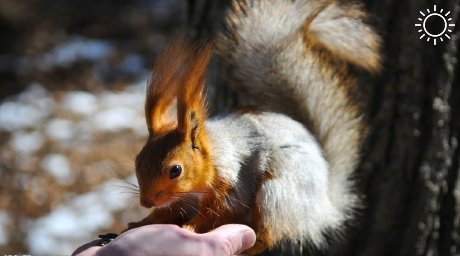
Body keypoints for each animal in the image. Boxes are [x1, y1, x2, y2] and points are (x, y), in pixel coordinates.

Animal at [126, 0, 380, 253]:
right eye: (137, 160)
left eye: (175, 170)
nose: (145, 202)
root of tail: (322, 208)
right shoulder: (181, 200)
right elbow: (167, 212)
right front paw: (141, 222)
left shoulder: (233, 183)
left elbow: (222, 211)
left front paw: (190, 227)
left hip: (276, 196)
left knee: (269, 235)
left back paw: (250, 247)